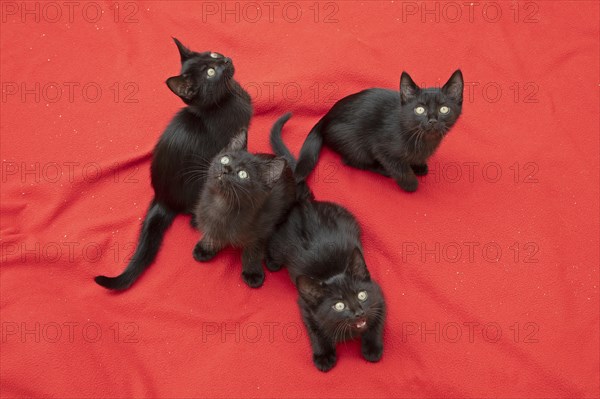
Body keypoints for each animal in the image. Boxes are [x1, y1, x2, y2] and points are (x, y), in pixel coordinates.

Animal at [94, 38, 253, 290]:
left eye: (213, 54)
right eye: (210, 72)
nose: (225, 60)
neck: (228, 99)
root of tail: (162, 199)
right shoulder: (231, 144)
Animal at [192, 132, 296, 290]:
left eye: (243, 174)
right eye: (225, 159)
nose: (226, 169)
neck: (222, 204)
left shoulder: (260, 233)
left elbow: (252, 253)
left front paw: (252, 273)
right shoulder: (209, 219)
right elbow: (213, 233)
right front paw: (206, 247)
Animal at [266, 115, 384, 372]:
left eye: (362, 295)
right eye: (339, 306)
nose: (358, 311)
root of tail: (303, 204)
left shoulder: (379, 296)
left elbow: (376, 323)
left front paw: (372, 348)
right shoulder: (305, 307)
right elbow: (316, 332)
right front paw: (324, 356)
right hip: (278, 243)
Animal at [276, 70, 464, 192]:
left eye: (444, 109)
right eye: (420, 110)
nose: (432, 120)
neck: (424, 140)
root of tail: (325, 117)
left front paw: (419, 165)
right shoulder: (382, 148)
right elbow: (400, 169)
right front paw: (411, 184)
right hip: (354, 145)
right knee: (352, 161)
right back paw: (382, 170)